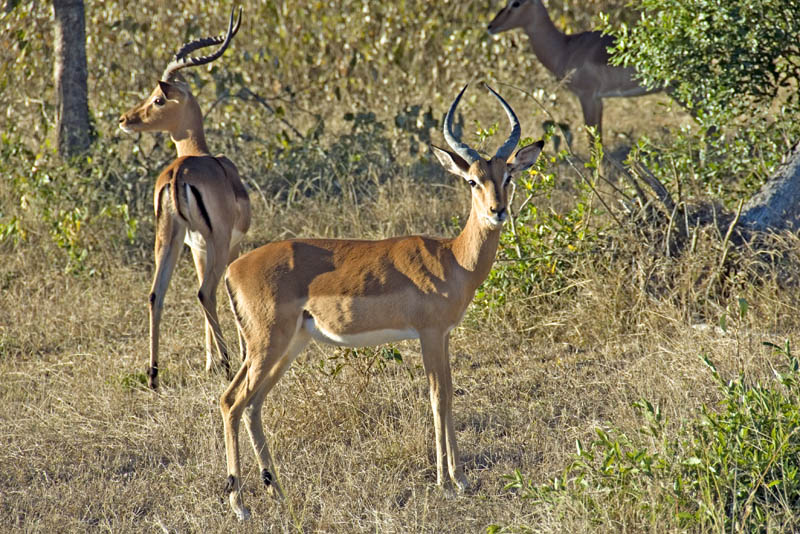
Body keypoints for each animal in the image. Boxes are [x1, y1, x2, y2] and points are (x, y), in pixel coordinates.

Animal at [118, 8, 250, 389]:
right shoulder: (226, 244)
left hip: (168, 238)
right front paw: (225, 359)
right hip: (215, 240)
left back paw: (153, 375)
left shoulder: (196, 248)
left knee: (155, 294)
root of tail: (179, 172)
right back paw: (229, 365)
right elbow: (227, 292)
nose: (124, 119)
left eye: (157, 98)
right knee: (206, 292)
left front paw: (208, 363)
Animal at [219, 83, 544, 520]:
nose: (498, 211)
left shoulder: (442, 336)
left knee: (252, 405)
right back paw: (240, 505)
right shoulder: (430, 334)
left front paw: (454, 479)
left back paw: (278, 493)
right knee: (232, 401)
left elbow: (445, 395)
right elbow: (439, 397)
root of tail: (233, 269)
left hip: (287, 345)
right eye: (473, 180)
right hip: (267, 344)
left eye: (507, 175)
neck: (453, 258)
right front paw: (448, 483)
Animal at [488, 0, 661, 142]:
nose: (490, 26)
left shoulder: (587, 97)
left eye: (516, 3)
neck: (566, 48)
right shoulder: (598, 100)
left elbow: (593, 141)